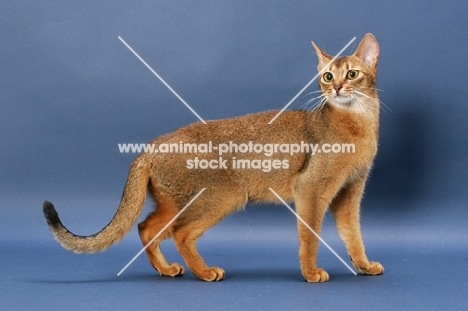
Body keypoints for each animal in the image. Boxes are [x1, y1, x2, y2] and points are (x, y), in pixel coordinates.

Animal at [43, 33, 384, 282]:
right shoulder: (310, 190)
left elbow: (354, 234)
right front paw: (311, 273)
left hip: (176, 202)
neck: (359, 124)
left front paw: (364, 265)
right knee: (180, 233)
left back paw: (165, 269)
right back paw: (205, 272)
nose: (337, 87)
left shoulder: (350, 193)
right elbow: (310, 237)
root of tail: (150, 147)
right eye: (326, 76)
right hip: (223, 195)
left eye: (352, 74)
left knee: (146, 227)